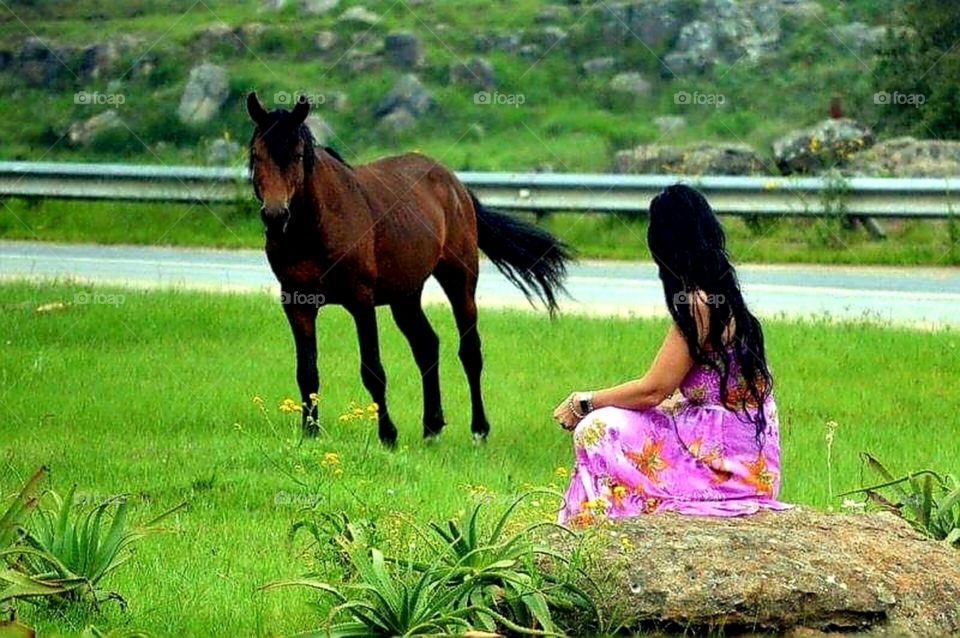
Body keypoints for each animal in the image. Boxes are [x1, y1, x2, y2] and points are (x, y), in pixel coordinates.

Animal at [246, 92, 573, 446]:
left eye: (297, 154)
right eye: (257, 154)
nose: (275, 216)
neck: (316, 227)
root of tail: (456, 185)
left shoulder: (361, 301)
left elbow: (372, 370)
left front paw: (388, 435)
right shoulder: (296, 303)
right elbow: (307, 371)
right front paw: (310, 434)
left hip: (459, 280)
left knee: (470, 352)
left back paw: (479, 430)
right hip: (406, 296)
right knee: (427, 346)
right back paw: (431, 427)